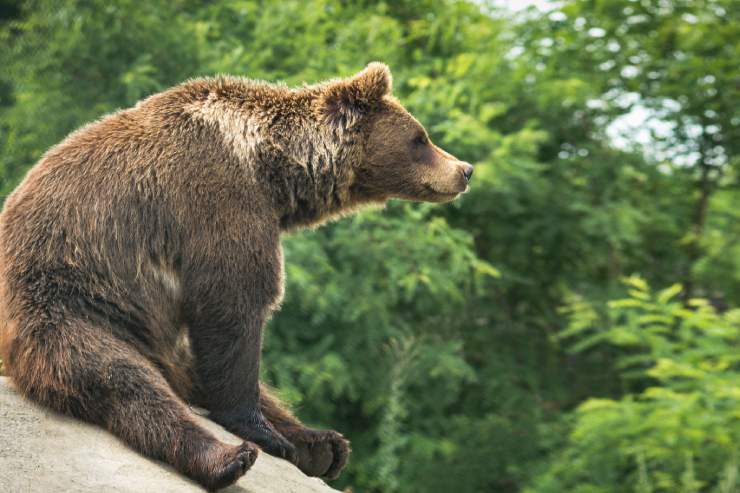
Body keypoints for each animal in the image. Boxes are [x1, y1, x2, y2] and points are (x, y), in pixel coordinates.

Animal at [0, 63, 473, 491]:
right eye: (420, 138)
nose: (465, 169)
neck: (272, 170)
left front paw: (292, 437)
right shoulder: (218, 201)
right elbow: (233, 306)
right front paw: (255, 429)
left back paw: (322, 444)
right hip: (73, 305)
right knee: (123, 380)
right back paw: (230, 457)